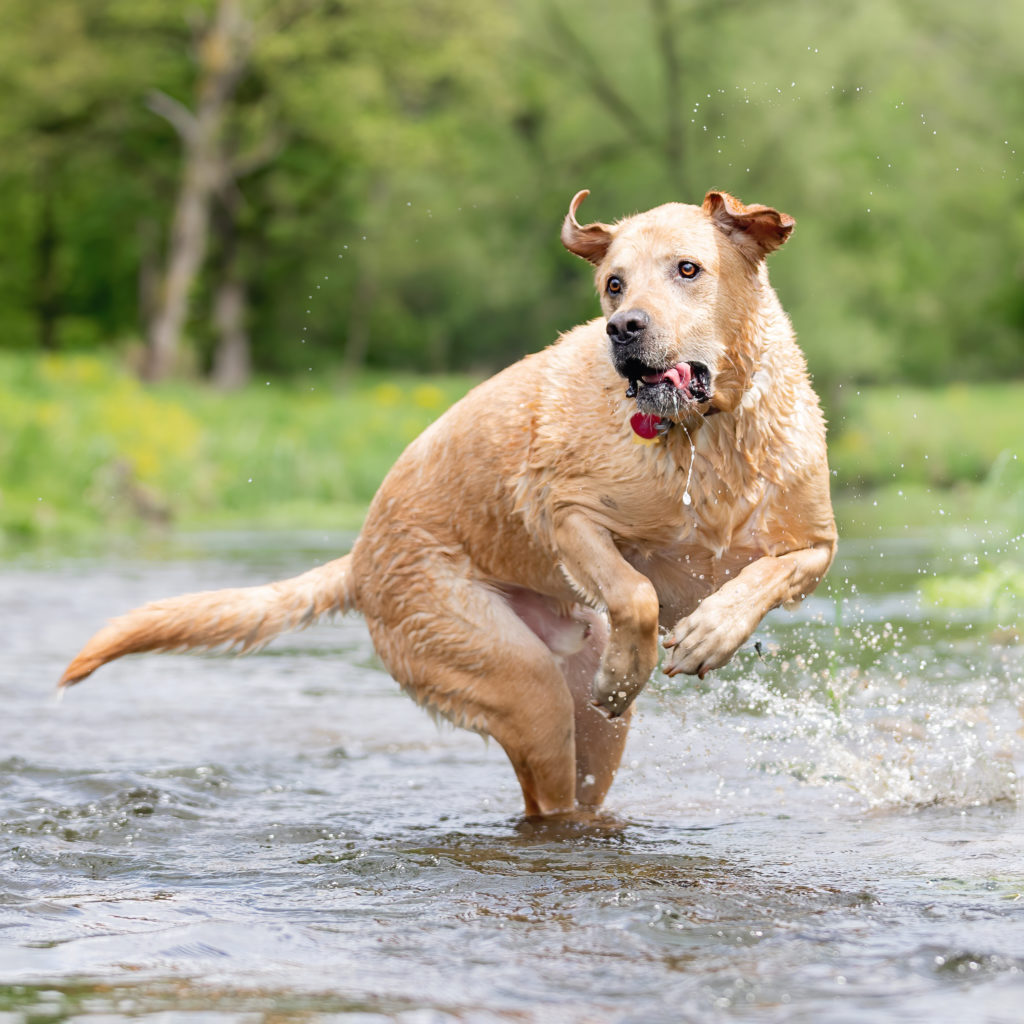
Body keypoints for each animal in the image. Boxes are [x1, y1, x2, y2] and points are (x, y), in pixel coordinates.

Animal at [59, 190, 835, 815]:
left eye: (688, 269)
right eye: (613, 285)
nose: (624, 328)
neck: (708, 436)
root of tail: (359, 558)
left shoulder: (815, 546)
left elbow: (768, 574)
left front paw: (711, 633)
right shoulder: (565, 513)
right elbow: (636, 591)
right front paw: (633, 667)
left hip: (586, 725)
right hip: (517, 684)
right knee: (547, 790)